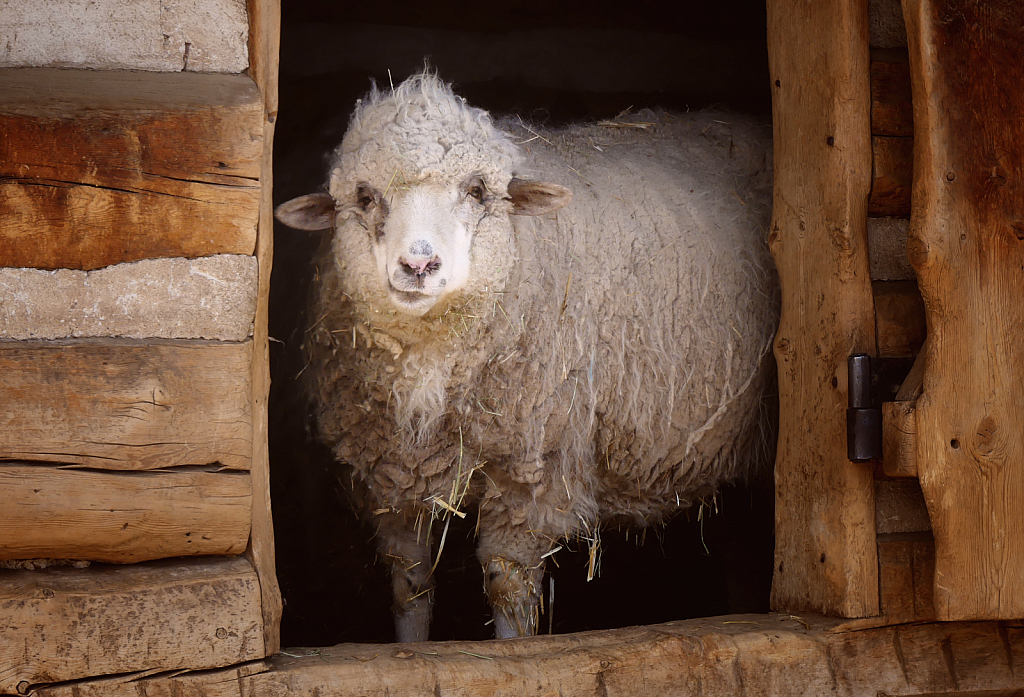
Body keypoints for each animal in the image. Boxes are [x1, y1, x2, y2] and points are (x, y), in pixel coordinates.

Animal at [274, 72, 774, 642]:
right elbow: (410, 587)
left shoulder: (532, 477)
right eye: (364, 196)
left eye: (476, 191)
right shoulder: (394, 479)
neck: (429, 366)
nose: (419, 264)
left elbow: (509, 589)